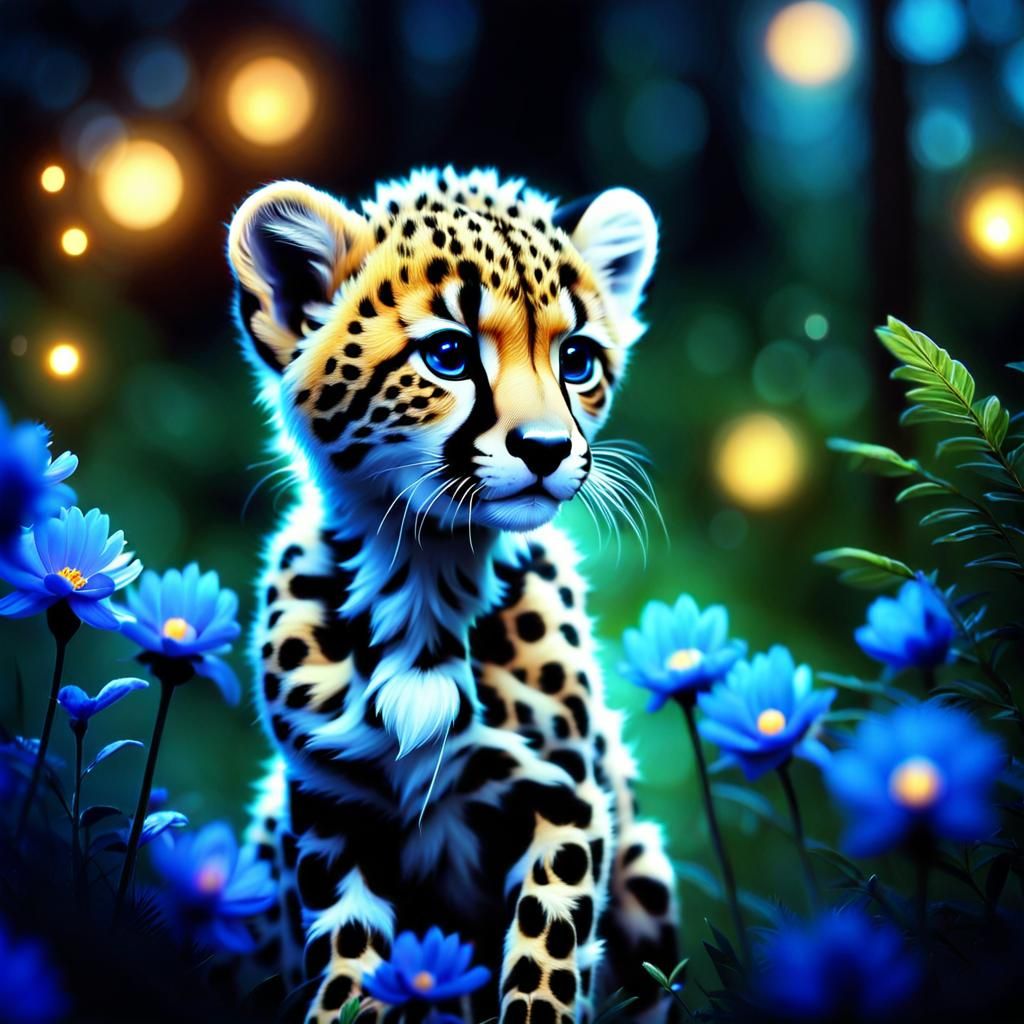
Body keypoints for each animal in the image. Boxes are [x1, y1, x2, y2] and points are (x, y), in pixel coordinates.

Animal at [226, 167, 679, 1024]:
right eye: (448, 353)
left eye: (577, 359)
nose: (547, 450)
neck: (427, 571)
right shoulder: (331, 808)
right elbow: (348, 963)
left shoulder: (564, 795)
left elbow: (547, 953)